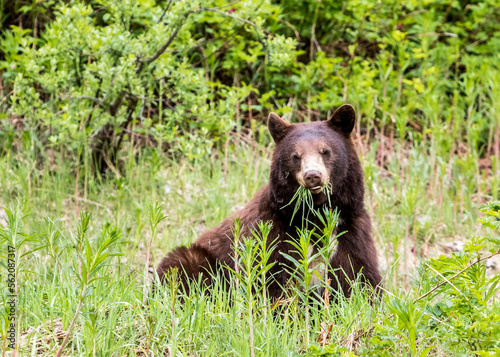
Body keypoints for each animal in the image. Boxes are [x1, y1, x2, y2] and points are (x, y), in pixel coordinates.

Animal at [157, 105, 382, 298]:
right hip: (195, 260)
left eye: (325, 151)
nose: (313, 175)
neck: (314, 215)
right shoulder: (272, 232)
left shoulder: (350, 230)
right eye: (296, 156)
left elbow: (359, 277)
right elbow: (271, 281)